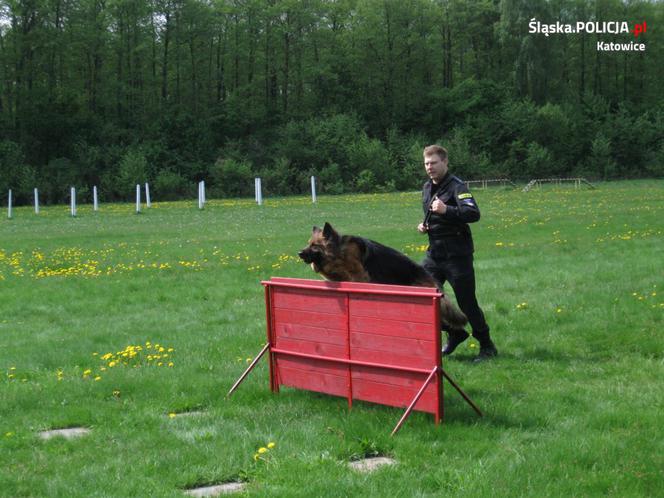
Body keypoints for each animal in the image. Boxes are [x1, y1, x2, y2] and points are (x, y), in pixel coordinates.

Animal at [298, 223, 470, 330]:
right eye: (308, 244)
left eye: (314, 246)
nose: (299, 253)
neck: (340, 250)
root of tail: (426, 275)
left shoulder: (359, 273)